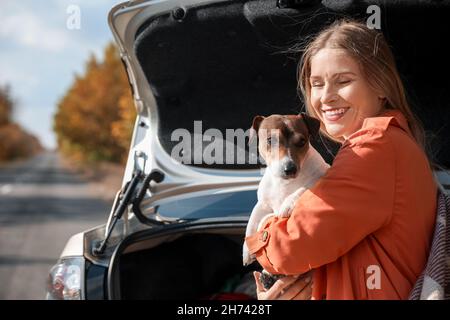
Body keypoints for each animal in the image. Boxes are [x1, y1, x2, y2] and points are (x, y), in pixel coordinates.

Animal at [243, 113, 330, 290]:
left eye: (302, 141)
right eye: (270, 140)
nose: (290, 169)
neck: (284, 184)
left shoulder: (320, 177)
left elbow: (303, 188)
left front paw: (287, 204)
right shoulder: (263, 203)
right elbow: (252, 221)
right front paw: (246, 251)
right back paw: (268, 277)